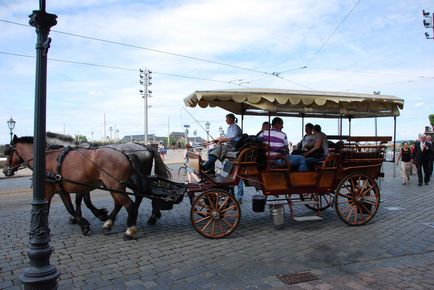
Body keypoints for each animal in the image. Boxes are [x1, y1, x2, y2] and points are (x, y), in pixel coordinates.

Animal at [2, 136, 140, 240]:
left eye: (8, 151)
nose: (4, 170)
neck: (44, 160)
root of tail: (124, 155)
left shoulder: (48, 191)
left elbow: (52, 209)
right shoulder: (62, 190)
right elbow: (70, 207)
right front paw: (84, 224)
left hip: (115, 185)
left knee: (129, 204)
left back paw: (129, 231)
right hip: (112, 186)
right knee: (119, 203)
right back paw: (108, 224)